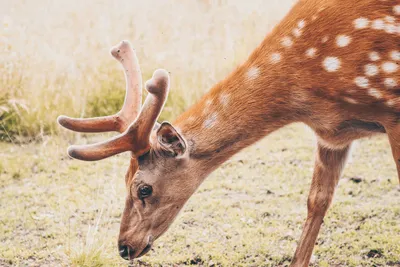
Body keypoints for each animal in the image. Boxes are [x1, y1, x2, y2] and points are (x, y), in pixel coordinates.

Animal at [57, 1, 400, 266]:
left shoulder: (392, 109)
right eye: (124, 179)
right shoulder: (331, 135)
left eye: (143, 189)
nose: (124, 246)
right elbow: (316, 201)